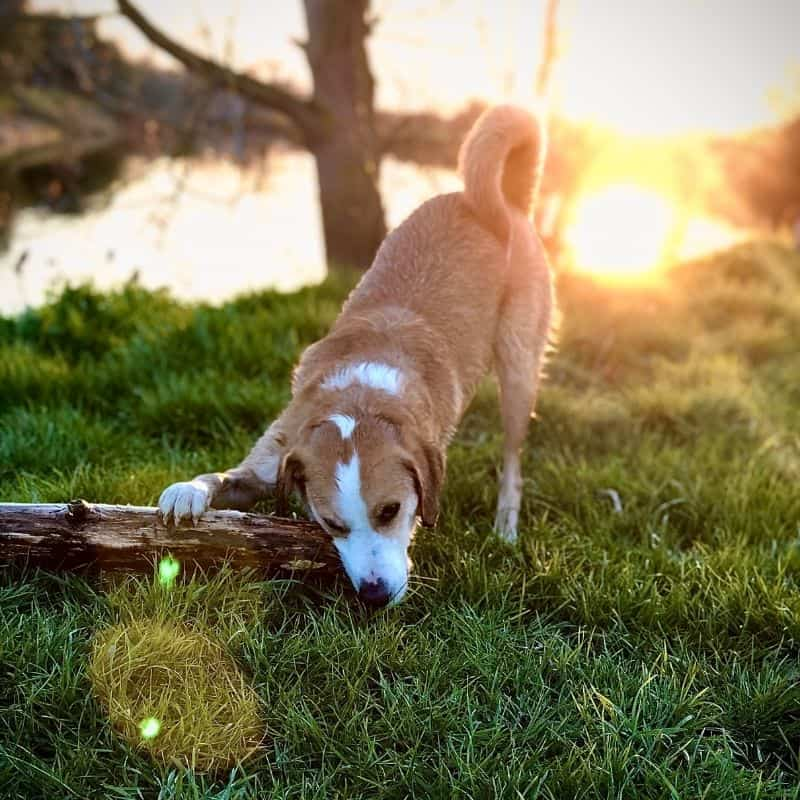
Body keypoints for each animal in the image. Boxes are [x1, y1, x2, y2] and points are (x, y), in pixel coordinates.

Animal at [159, 104, 552, 608]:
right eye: (332, 524)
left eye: (391, 511)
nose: (375, 596)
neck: (360, 397)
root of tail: (505, 201)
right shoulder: (273, 457)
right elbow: (223, 476)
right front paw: (187, 491)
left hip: (519, 368)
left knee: (513, 461)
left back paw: (505, 528)